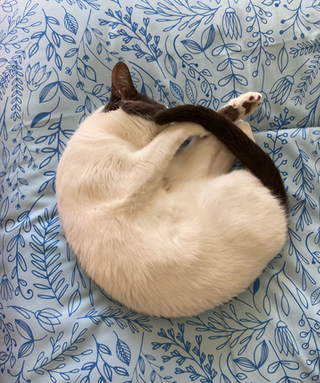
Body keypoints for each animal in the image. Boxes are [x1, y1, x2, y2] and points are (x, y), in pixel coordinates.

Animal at [55, 60, 288, 318]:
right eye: (158, 110)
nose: (167, 111)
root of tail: (281, 210)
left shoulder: (169, 169)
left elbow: (200, 128)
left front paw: (234, 109)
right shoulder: (138, 172)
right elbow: (180, 129)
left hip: (193, 174)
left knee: (222, 142)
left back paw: (243, 110)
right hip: (213, 185)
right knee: (231, 141)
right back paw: (243, 123)